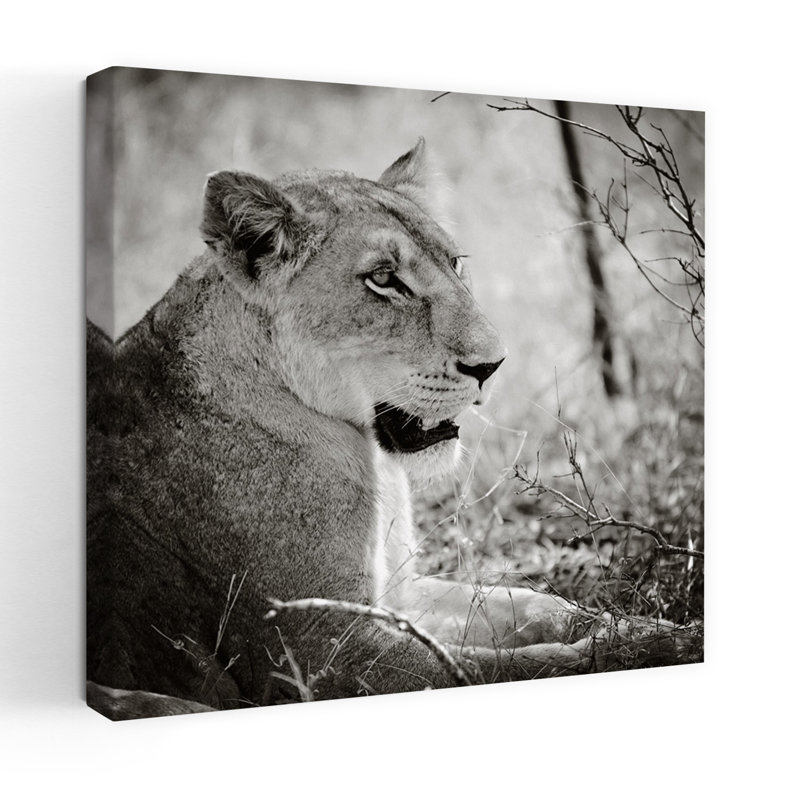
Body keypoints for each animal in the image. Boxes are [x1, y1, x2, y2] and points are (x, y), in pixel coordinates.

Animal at [87, 140, 694, 720]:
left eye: (454, 262)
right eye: (383, 279)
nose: (493, 365)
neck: (372, 460)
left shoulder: (398, 597)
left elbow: (532, 604)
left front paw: (652, 628)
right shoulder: (322, 653)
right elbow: (497, 669)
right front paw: (651, 650)